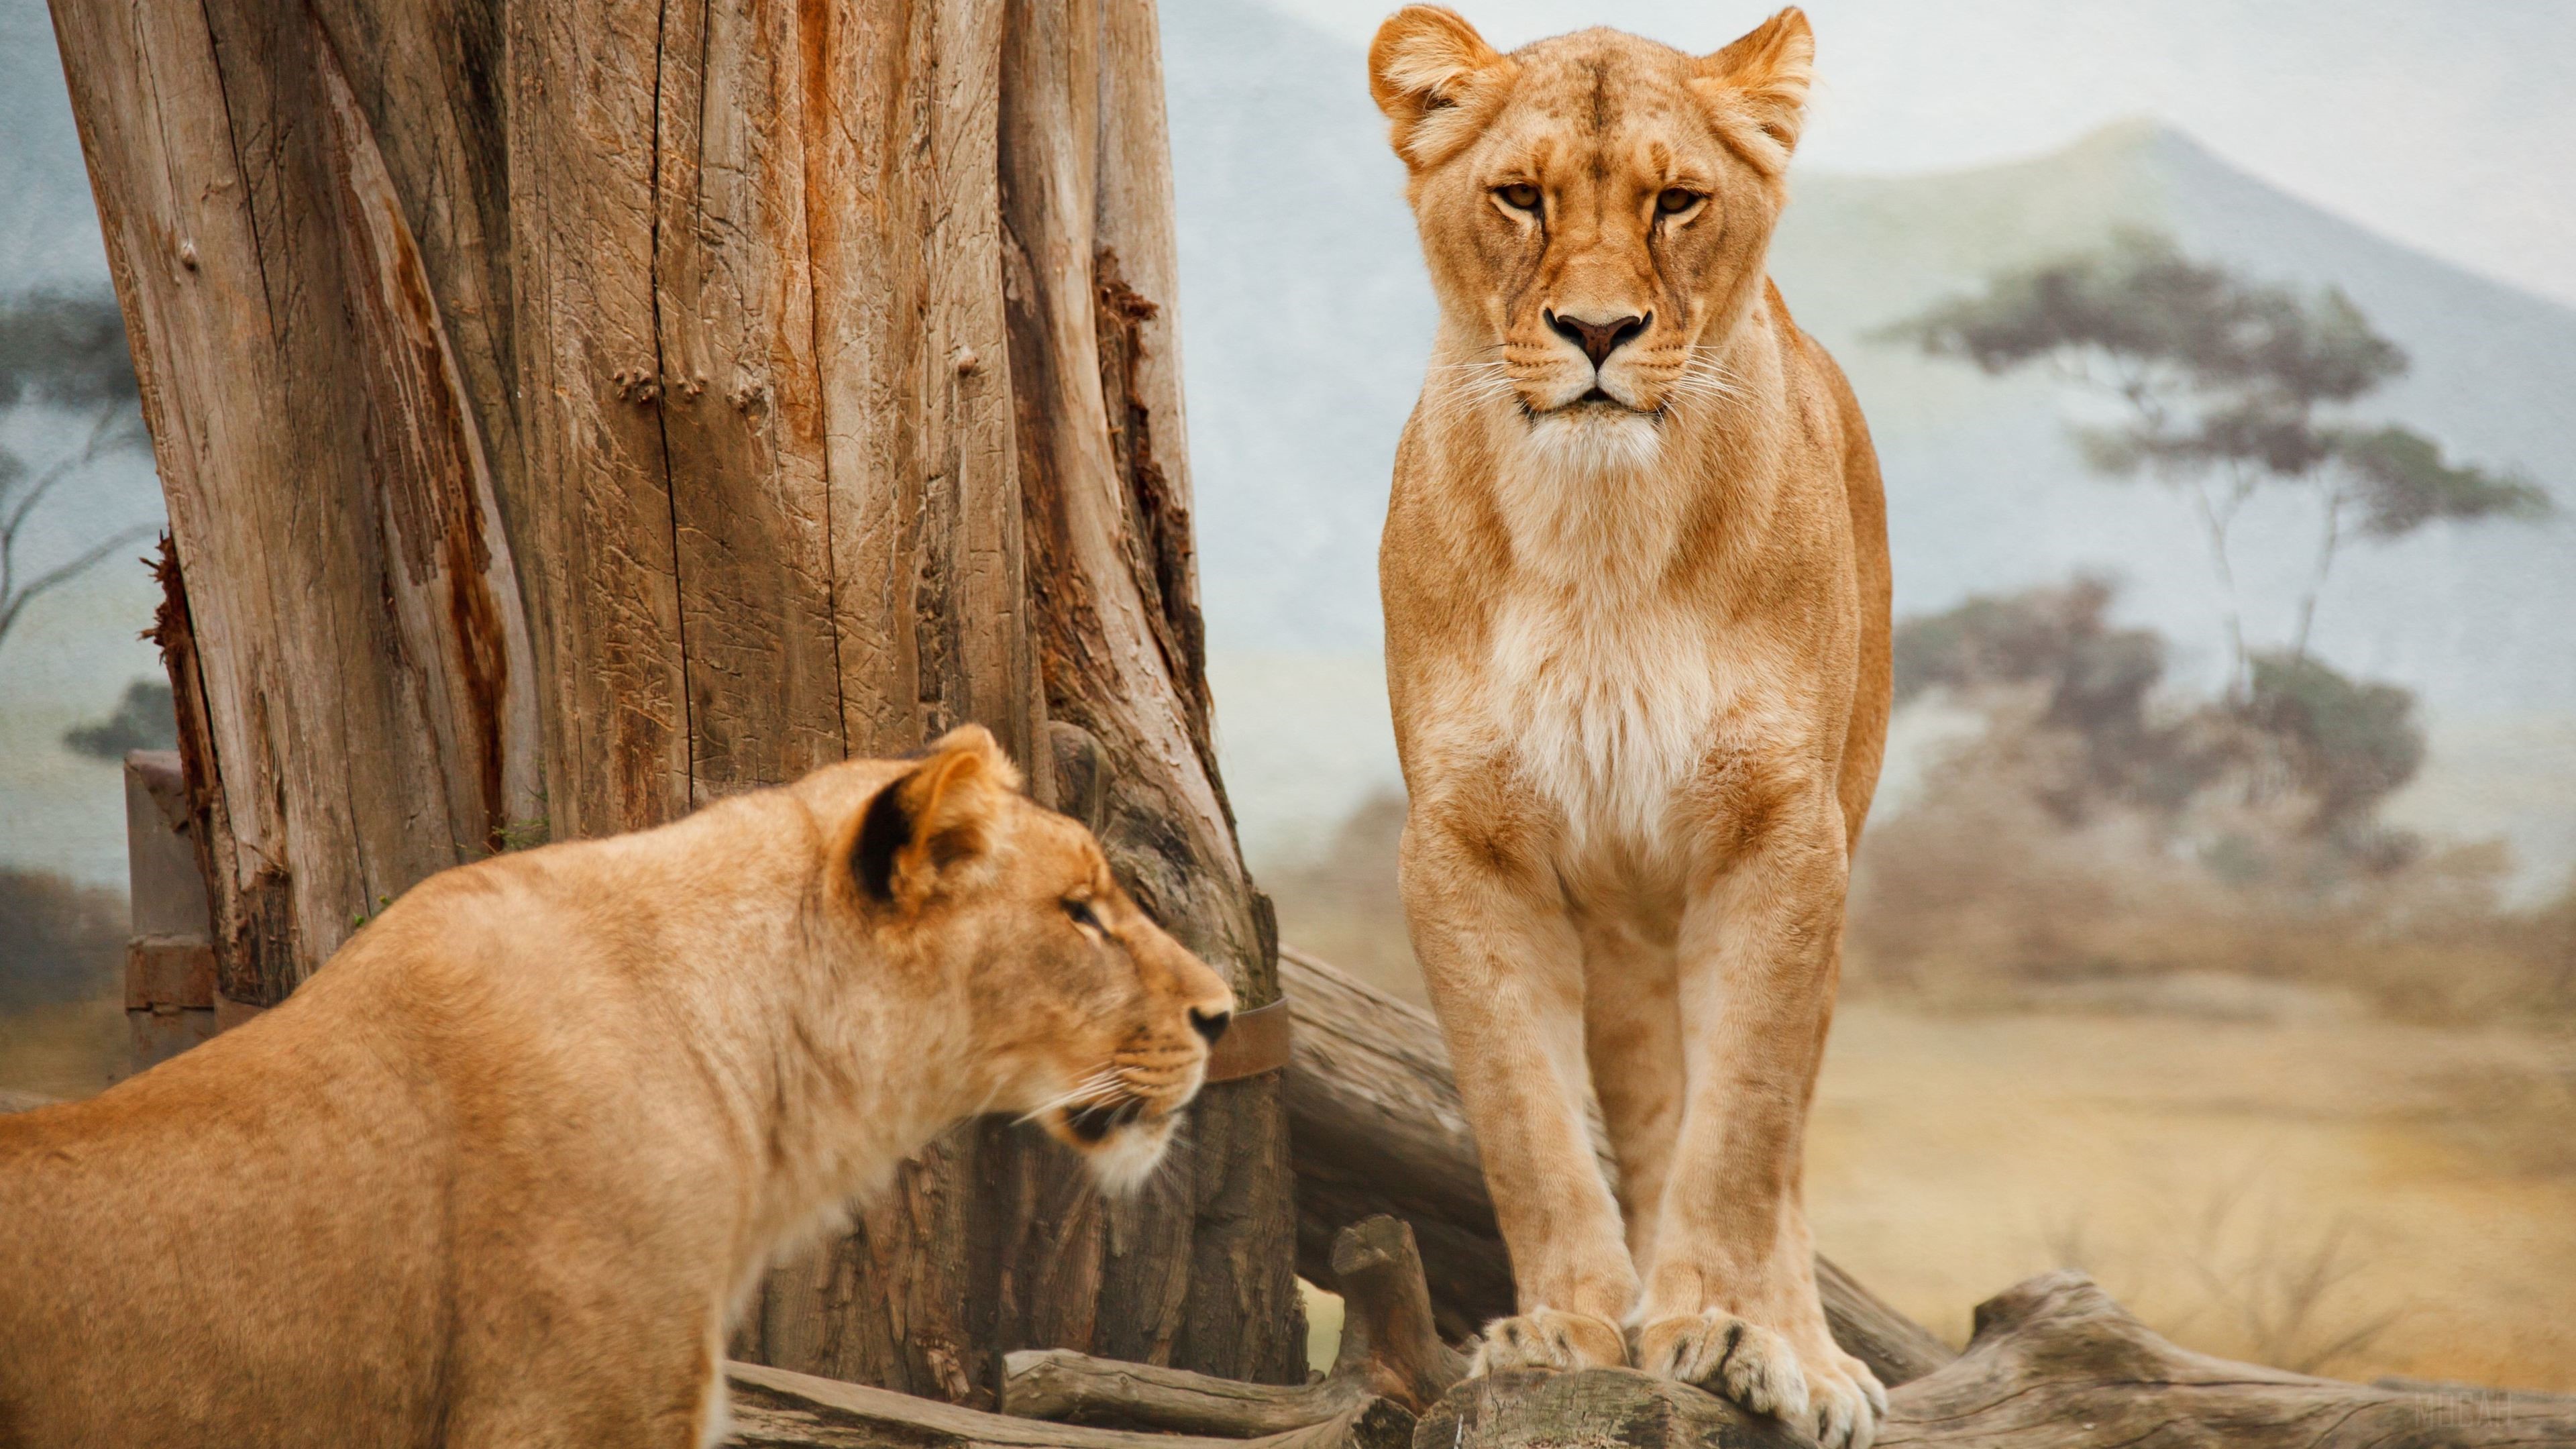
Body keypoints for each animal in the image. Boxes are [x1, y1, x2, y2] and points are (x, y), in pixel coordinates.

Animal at [1367, 8, 1893, 1447]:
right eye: (1519, 196)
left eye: (1676, 202)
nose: (1598, 330)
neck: (1600, 532)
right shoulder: (1464, 848)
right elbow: (1528, 1121)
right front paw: (1563, 1328)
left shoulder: (1782, 837)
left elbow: (1744, 1133)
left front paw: (1721, 1331)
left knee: (1781, 1139)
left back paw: (1805, 1357)